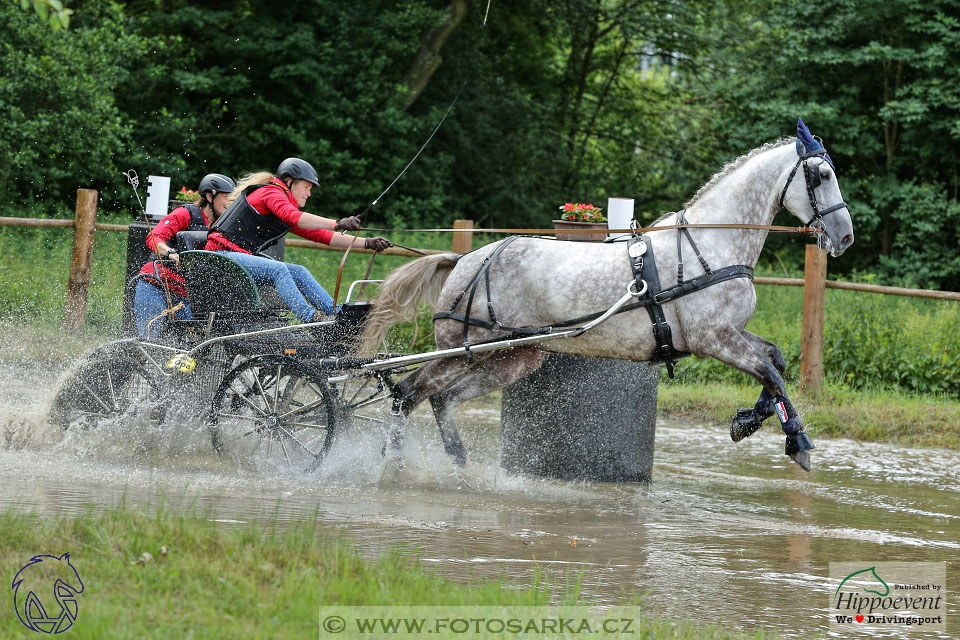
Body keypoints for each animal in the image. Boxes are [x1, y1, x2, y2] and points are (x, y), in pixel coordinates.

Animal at [362, 119, 856, 470]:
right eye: (822, 174)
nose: (846, 237)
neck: (710, 244)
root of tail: (466, 259)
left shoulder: (729, 334)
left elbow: (775, 361)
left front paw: (748, 421)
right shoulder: (713, 339)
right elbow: (771, 373)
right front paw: (798, 441)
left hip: (508, 357)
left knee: (441, 399)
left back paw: (459, 464)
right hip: (463, 349)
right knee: (406, 392)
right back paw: (394, 465)